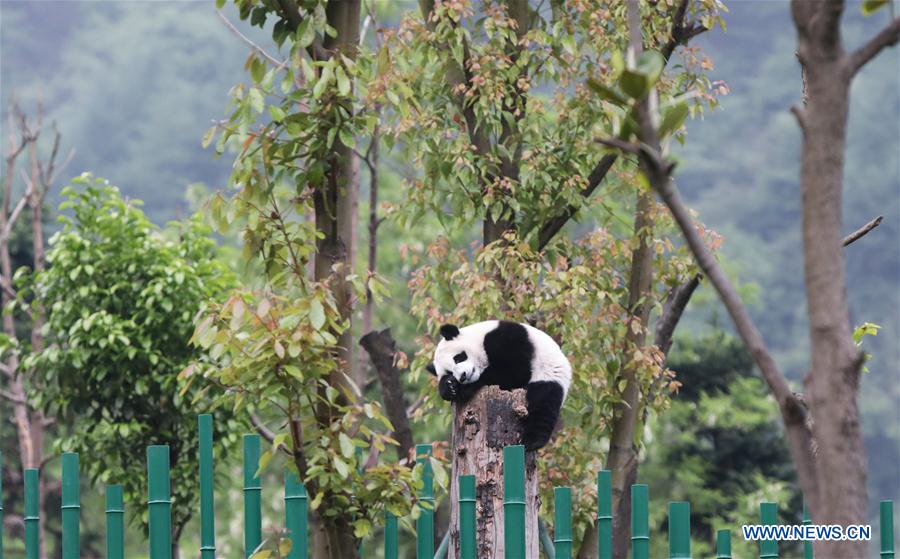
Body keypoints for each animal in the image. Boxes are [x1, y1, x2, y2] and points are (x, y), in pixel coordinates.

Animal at [428, 320, 568, 450]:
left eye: (458, 358)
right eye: (449, 372)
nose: (463, 376)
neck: (479, 337)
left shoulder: (507, 338)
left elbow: (515, 370)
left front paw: (464, 388)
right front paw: (449, 387)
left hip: (548, 374)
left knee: (544, 404)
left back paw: (532, 441)